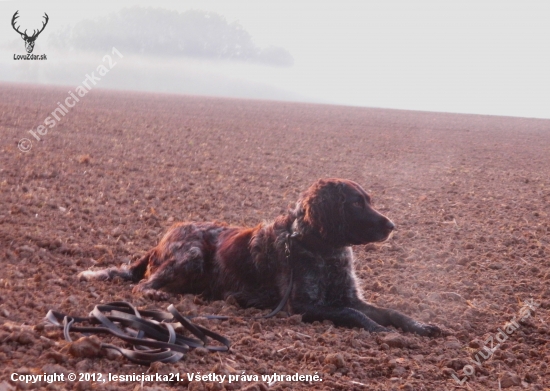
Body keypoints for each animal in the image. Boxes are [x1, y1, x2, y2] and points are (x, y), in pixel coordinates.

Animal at [80, 178, 442, 336]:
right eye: (356, 203)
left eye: (369, 200)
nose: (392, 225)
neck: (321, 248)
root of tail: (163, 238)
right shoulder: (303, 306)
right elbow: (354, 315)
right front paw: (382, 333)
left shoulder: (349, 297)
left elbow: (391, 312)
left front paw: (420, 326)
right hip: (191, 253)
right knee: (141, 286)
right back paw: (158, 294)